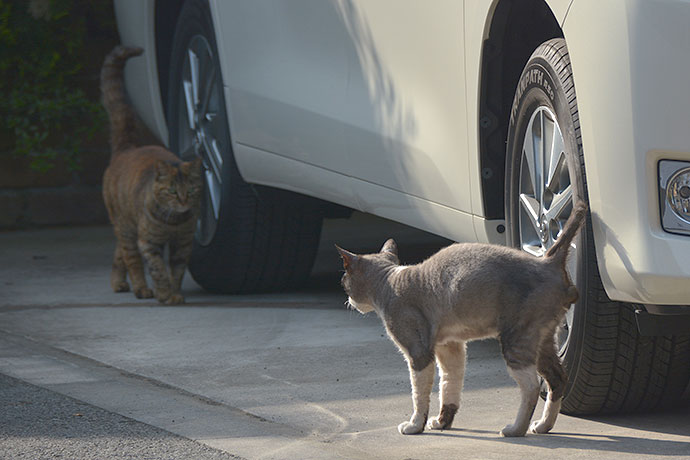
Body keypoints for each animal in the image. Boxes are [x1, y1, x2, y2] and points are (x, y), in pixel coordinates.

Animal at [99, 46, 202, 306]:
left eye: (192, 190)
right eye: (173, 191)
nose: (184, 201)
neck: (174, 222)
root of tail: (127, 148)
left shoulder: (183, 243)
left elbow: (177, 271)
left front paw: (174, 293)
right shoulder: (149, 242)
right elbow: (157, 269)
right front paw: (164, 294)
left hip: (127, 227)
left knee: (119, 254)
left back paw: (119, 283)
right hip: (126, 226)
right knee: (131, 258)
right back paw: (141, 288)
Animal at [336, 203, 584, 436]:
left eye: (343, 281)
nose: (348, 301)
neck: (390, 281)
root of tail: (547, 260)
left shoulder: (419, 354)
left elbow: (419, 395)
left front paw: (415, 426)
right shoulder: (450, 346)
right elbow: (449, 386)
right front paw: (442, 423)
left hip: (516, 341)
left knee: (532, 386)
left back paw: (515, 430)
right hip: (542, 342)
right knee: (558, 378)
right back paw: (542, 426)